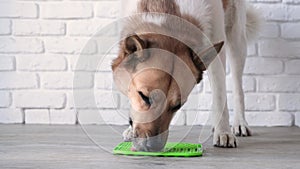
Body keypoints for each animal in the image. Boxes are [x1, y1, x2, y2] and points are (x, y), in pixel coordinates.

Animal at [111, 0, 262, 151]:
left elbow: (220, 95)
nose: (152, 147)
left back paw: (240, 123)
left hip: (237, 36)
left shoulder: (216, 43)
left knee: (237, 86)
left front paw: (223, 132)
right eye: (144, 96)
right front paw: (130, 129)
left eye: (177, 106)